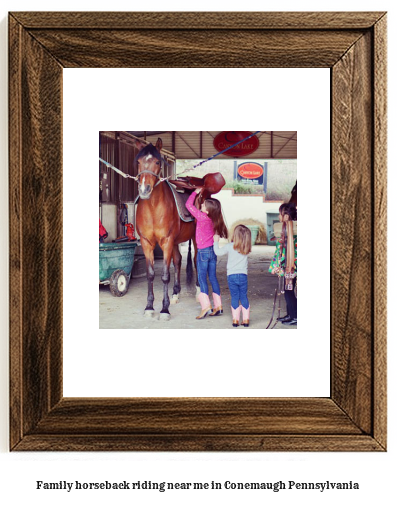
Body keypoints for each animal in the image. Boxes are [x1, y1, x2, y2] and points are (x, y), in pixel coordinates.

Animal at [134, 139, 196, 320]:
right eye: (138, 162)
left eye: (157, 162)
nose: (144, 190)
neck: (154, 208)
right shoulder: (147, 243)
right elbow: (150, 274)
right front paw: (149, 307)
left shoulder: (166, 242)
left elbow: (165, 276)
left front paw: (164, 309)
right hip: (175, 242)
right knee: (178, 260)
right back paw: (175, 294)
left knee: (196, 261)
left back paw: (199, 293)